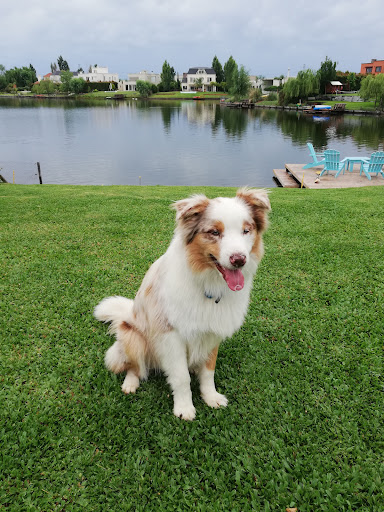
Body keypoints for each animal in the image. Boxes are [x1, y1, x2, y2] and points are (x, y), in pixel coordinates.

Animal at [95, 188, 270, 420]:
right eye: (214, 232)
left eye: (246, 231)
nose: (239, 259)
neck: (208, 284)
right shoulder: (171, 334)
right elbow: (181, 377)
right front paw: (184, 408)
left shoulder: (213, 330)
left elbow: (208, 371)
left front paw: (211, 397)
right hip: (133, 337)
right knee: (135, 367)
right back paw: (131, 383)